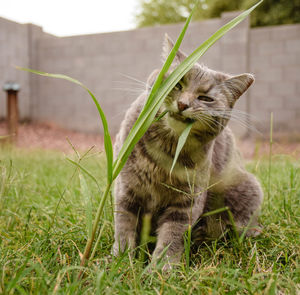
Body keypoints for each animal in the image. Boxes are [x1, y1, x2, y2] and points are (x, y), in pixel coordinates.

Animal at [112, 34, 262, 268]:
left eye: (205, 98)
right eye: (177, 84)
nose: (182, 104)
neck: (165, 149)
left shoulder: (186, 203)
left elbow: (171, 237)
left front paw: (160, 270)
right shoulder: (126, 190)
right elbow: (123, 227)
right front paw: (121, 262)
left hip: (246, 188)